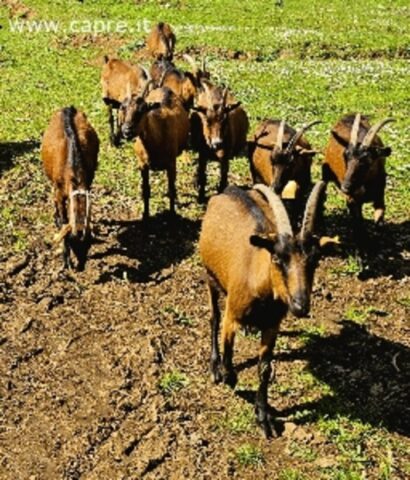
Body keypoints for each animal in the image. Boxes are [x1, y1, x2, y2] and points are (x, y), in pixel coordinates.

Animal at [41, 106, 99, 270]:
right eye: (73, 241)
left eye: (88, 244)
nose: (81, 268)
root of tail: (69, 108)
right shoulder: (59, 193)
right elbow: (63, 220)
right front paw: (66, 259)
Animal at [119, 84, 190, 220]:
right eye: (123, 108)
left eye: (142, 109)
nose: (127, 131)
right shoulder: (143, 165)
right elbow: (146, 190)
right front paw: (146, 215)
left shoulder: (171, 163)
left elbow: (171, 189)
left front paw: (172, 214)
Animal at [199, 181, 328, 438]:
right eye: (277, 258)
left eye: (315, 260)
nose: (300, 306)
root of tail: (228, 190)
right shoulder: (232, 315)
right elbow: (229, 357)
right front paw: (227, 376)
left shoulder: (272, 325)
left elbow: (265, 369)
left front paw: (264, 416)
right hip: (210, 276)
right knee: (214, 317)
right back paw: (214, 367)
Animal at [322, 113, 394, 247]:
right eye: (345, 156)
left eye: (367, 161)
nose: (345, 187)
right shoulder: (352, 199)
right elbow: (358, 222)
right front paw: (362, 241)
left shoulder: (379, 196)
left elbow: (379, 219)